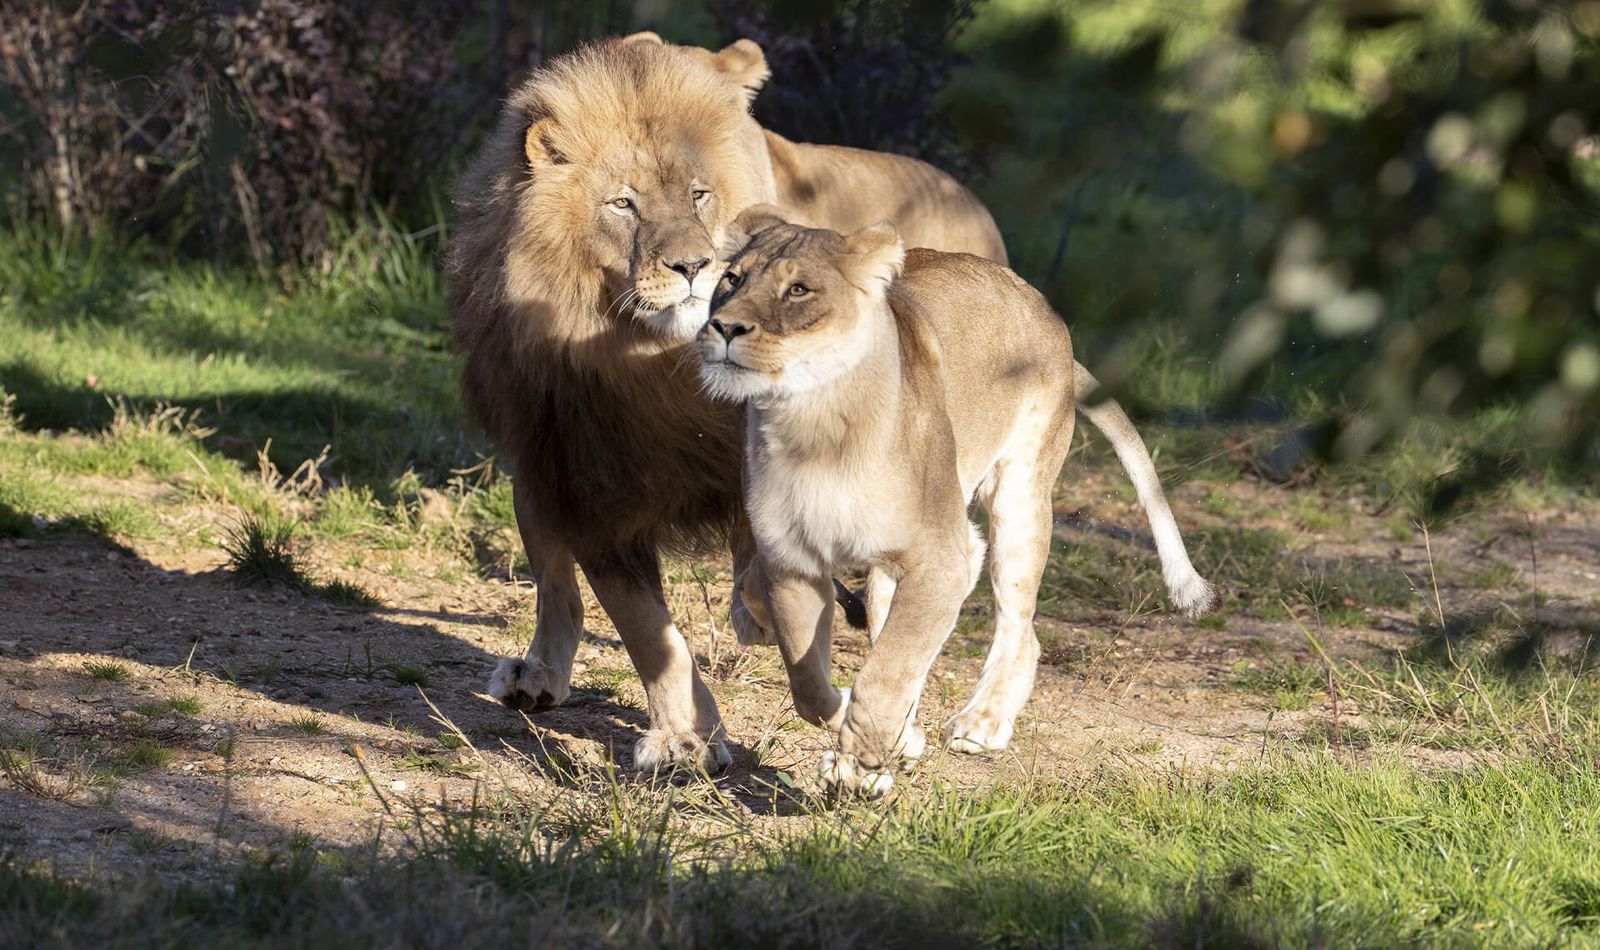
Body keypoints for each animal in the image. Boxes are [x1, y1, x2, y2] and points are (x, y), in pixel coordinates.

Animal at [695, 208, 1220, 795]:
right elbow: (811, 681)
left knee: (1020, 628)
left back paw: (982, 724)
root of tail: (1045, 309)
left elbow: (888, 672)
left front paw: (867, 757)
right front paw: (869, 739)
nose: (725, 327)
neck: (814, 423)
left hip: (1017, 501)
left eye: (799, 290)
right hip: (895, 568)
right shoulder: (792, 561)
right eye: (731, 279)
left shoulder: (944, 557)